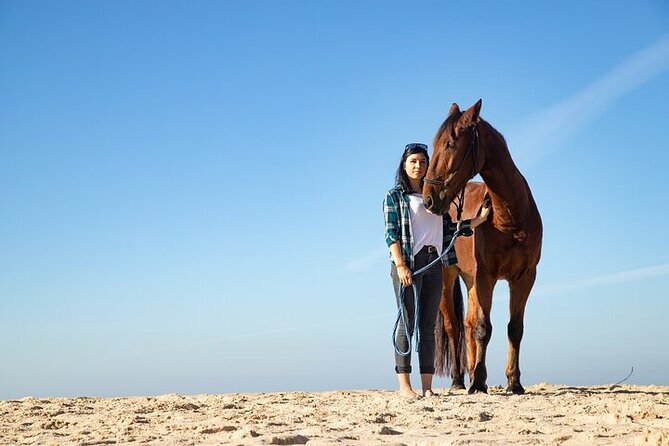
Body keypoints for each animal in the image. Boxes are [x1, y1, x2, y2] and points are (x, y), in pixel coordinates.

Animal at [422, 99, 543, 394]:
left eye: (450, 144)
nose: (428, 199)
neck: (509, 217)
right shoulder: (486, 276)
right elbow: (483, 328)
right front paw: (477, 381)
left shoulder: (524, 278)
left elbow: (514, 329)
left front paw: (514, 382)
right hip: (448, 277)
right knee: (455, 327)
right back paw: (458, 380)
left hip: (470, 279)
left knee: (466, 324)